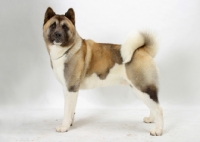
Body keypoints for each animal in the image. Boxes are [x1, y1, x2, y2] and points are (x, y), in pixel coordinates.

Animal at [43, 7, 163, 136]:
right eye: (53, 26)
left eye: (65, 27)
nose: (58, 34)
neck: (67, 50)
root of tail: (142, 50)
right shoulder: (68, 90)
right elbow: (71, 110)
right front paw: (70, 123)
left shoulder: (71, 88)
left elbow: (67, 110)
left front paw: (64, 127)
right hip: (140, 88)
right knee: (153, 106)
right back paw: (150, 119)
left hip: (143, 87)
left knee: (158, 109)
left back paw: (158, 130)